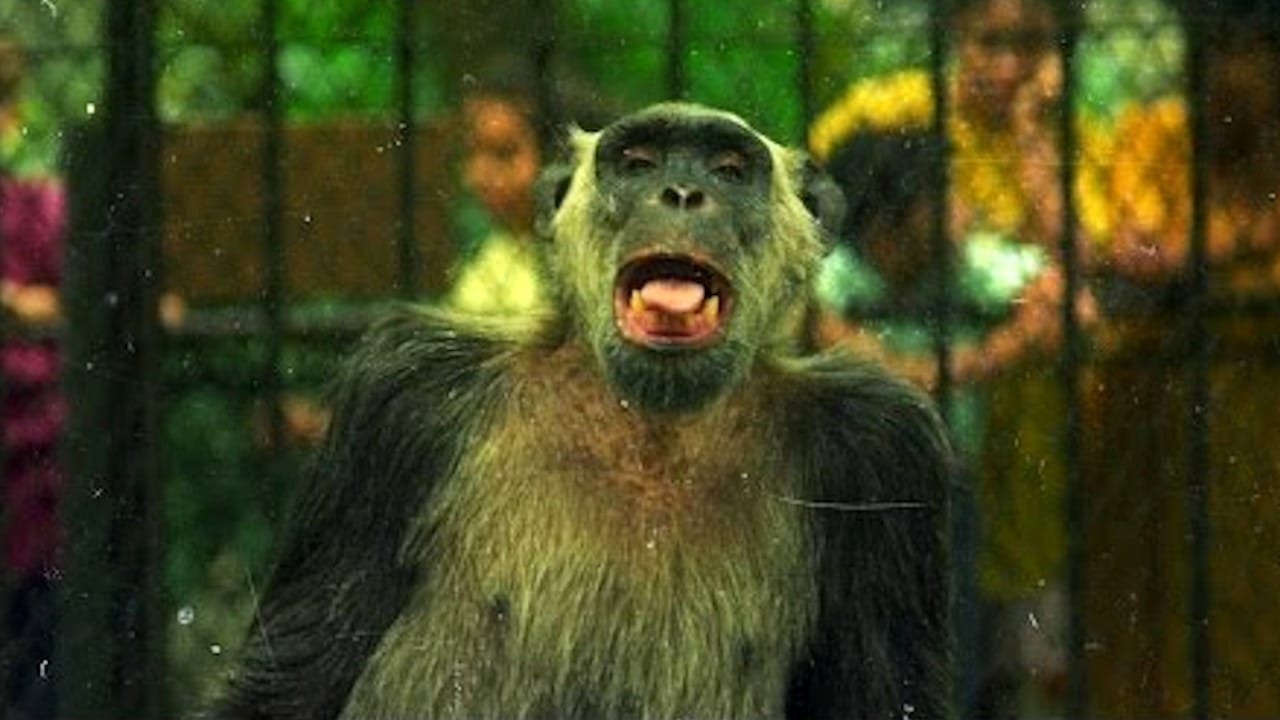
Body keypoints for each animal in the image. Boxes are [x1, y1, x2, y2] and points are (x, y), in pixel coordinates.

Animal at [210, 102, 952, 720]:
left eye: (730, 169)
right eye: (639, 162)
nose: (683, 193)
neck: (649, 428)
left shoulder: (883, 448)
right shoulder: (403, 397)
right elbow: (298, 679)